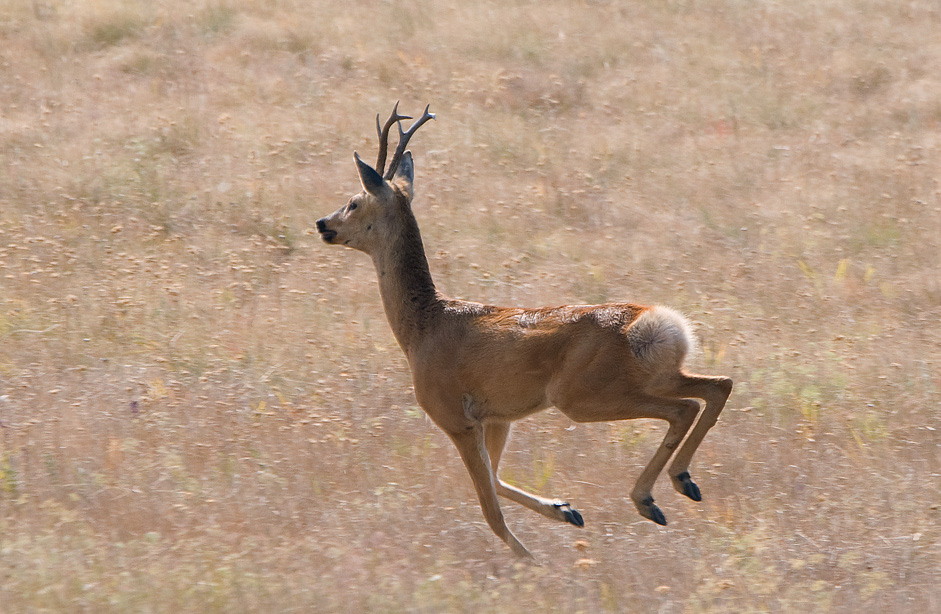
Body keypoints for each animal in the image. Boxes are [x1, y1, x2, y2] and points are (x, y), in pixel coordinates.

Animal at [316, 103, 736, 560]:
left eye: (354, 202)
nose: (322, 223)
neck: (422, 327)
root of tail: (659, 323)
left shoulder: (454, 416)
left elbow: (490, 509)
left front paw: (531, 561)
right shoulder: (497, 417)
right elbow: (498, 481)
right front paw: (565, 510)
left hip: (583, 394)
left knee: (684, 407)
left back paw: (650, 498)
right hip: (653, 375)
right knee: (717, 385)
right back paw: (681, 483)